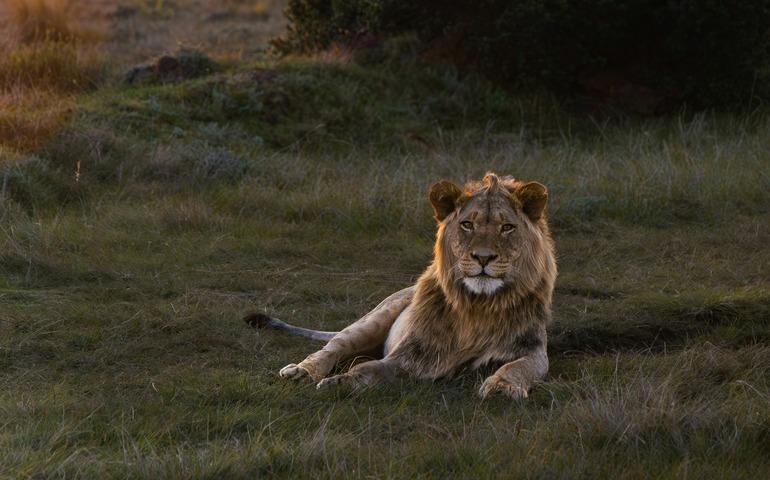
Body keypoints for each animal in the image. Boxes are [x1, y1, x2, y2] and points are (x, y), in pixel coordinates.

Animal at [245, 172, 557, 399]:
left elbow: (519, 367)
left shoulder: (532, 349)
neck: (479, 305)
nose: (483, 257)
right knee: (332, 348)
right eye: (467, 224)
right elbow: (367, 368)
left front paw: (503, 386)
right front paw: (338, 383)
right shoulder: (412, 355)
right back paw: (302, 371)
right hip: (373, 319)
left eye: (507, 228)